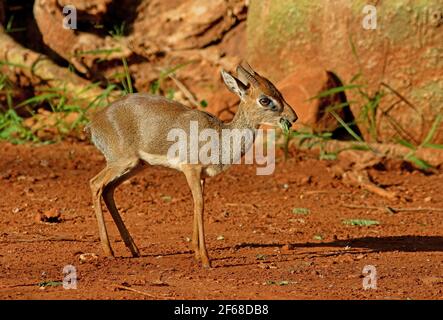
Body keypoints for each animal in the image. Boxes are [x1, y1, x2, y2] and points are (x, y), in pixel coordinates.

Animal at [87, 62, 298, 268]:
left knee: (108, 190)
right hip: (121, 162)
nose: (293, 117)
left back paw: (133, 249)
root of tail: (93, 123)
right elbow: (199, 204)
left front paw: (197, 253)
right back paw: (109, 251)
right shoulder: (191, 169)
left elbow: (197, 205)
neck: (220, 137)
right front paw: (206, 259)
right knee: (95, 184)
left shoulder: (202, 176)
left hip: (138, 165)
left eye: (279, 92)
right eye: (265, 100)